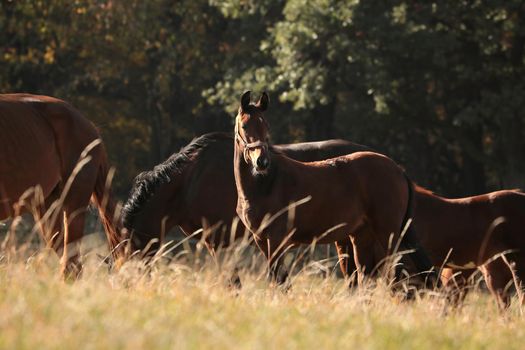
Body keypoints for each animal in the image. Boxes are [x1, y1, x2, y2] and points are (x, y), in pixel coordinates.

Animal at [232, 91, 434, 288]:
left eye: (266, 126)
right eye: (245, 126)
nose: (262, 162)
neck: (266, 184)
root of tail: (398, 170)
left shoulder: (276, 239)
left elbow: (278, 280)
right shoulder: (262, 240)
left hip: (387, 232)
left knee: (396, 269)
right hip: (363, 236)